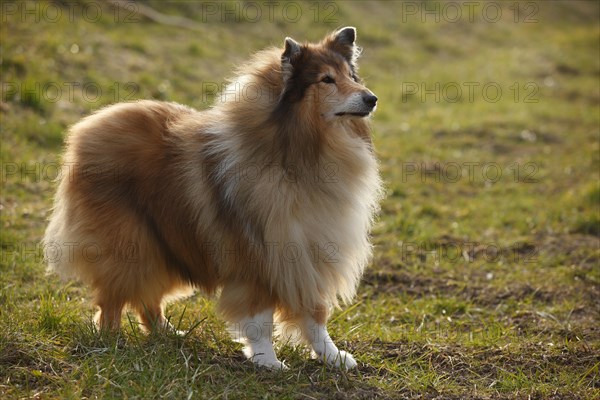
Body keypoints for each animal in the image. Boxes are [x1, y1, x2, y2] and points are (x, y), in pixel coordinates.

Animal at [42, 26, 382, 370]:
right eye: (326, 79)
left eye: (350, 75)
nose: (372, 98)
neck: (300, 152)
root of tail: (89, 125)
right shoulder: (256, 256)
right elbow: (260, 318)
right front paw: (267, 361)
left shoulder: (309, 252)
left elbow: (315, 315)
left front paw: (333, 357)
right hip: (131, 244)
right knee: (114, 298)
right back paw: (112, 340)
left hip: (165, 246)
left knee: (146, 296)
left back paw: (167, 333)